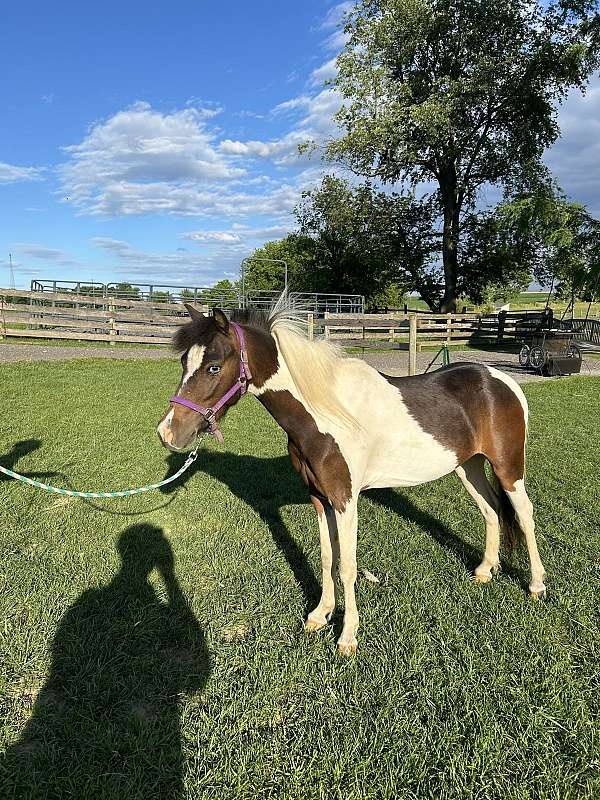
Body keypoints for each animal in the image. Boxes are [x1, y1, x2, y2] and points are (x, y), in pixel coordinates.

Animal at [157, 304, 548, 652]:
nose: (168, 433)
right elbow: (327, 557)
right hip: (468, 467)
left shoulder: (345, 499)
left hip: (508, 468)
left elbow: (347, 565)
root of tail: (502, 381)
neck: (326, 414)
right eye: (183, 363)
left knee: (525, 514)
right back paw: (485, 570)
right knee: (491, 510)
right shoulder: (320, 498)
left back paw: (536, 585)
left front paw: (347, 636)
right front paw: (320, 615)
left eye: (213, 366)